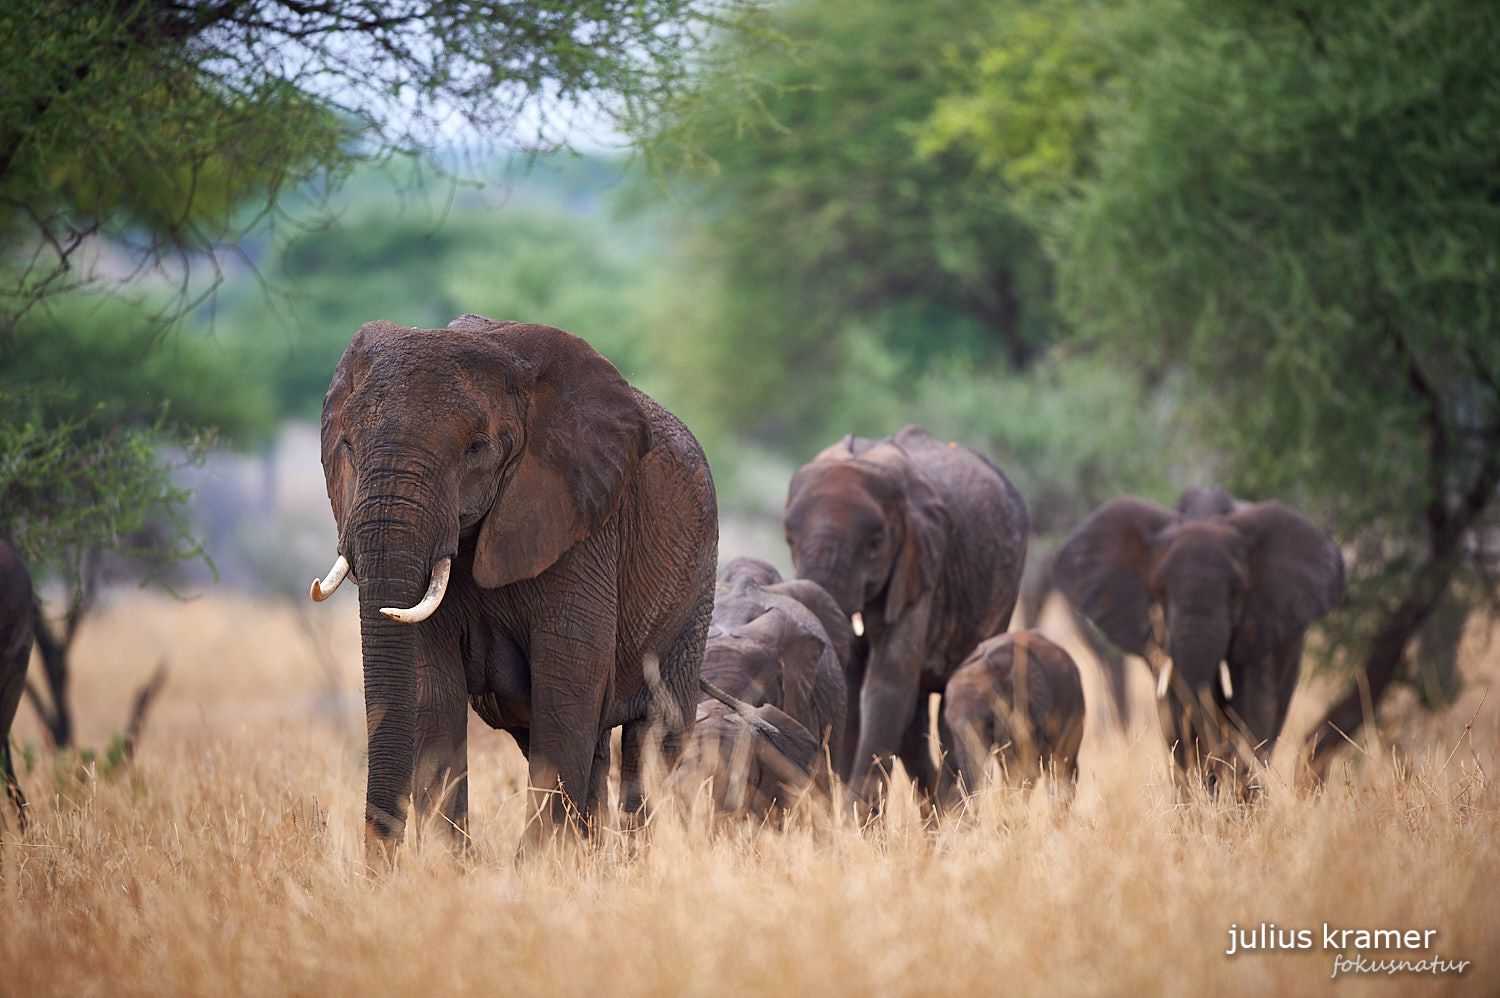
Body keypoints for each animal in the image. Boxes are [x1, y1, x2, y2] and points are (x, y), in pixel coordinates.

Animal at [310, 315, 714, 852]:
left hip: (695, 590)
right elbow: (431, 691)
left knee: (652, 736)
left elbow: (568, 681)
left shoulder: (583, 527)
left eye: (476, 448)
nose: (381, 859)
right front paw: (452, 865)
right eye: (348, 446)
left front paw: (539, 863)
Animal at [780, 423, 1026, 798]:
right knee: (914, 721)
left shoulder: (921, 564)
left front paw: (852, 812)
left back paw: (955, 806)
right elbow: (855, 687)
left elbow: (888, 680)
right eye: (789, 540)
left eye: (875, 544)